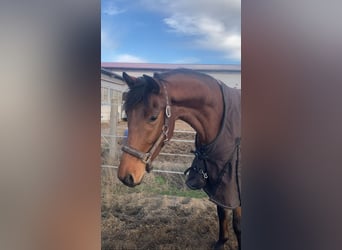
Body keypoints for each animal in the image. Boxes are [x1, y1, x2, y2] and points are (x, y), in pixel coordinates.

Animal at [117, 69, 240, 250]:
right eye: (128, 115)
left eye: (153, 117)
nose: (126, 176)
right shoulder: (219, 179)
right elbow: (222, 212)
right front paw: (221, 242)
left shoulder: (234, 185)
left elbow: (237, 224)